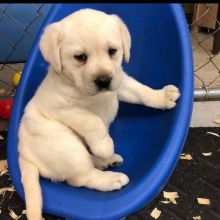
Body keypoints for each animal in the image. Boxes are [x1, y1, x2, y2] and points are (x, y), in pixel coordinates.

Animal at [18, 8, 180, 220]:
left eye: (112, 51)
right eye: (80, 57)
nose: (103, 80)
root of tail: (23, 155)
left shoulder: (120, 82)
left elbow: (140, 91)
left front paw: (162, 96)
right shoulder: (59, 107)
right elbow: (92, 120)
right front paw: (104, 145)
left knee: (88, 160)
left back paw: (107, 161)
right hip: (65, 143)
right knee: (80, 177)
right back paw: (111, 178)